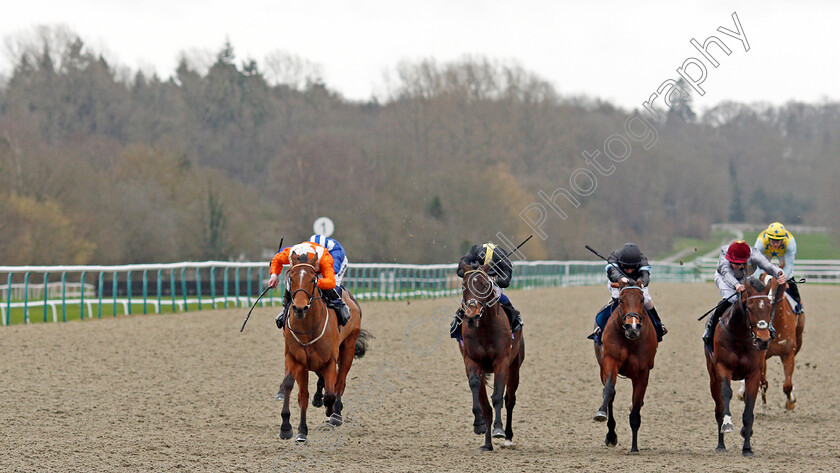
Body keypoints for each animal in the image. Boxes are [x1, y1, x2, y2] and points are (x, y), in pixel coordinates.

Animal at [278, 249, 368, 440]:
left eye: (313, 279)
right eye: (291, 278)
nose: (299, 308)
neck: (308, 328)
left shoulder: (330, 361)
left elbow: (331, 393)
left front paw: (330, 410)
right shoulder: (296, 358)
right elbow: (295, 389)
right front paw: (292, 429)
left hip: (348, 347)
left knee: (340, 382)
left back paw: (335, 414)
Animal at [456, 262, 520, 450]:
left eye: (484, 286)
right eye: (463, 286)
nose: (472, 316)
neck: (484, 328)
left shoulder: (502, 361)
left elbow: (498, 396)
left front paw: (499, 429)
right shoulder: (471, 360)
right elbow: (476, 388)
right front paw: (479, 425)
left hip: (515, 366)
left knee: (510, 399)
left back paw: (508, 437)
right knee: (486, 405)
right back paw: (487, 444)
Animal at [592, 278, 660, 452]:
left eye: (641, 300)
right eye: (621, 300)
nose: (632, 327)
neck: (630, 340)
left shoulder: (643, 371)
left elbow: (636, 406)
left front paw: (634, 447)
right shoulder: (611, 360)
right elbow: (609, 390)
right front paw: (601, 414)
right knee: (610, 395)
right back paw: (611, 435)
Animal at [704, 274, 780, 456]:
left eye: (769, 308)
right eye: (750, 308)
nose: (763, 340)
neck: (740, 336)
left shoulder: (753, 373)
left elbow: (749, 409)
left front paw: (747, 447)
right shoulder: (723, 368)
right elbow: (726, 394)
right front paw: (727, 423)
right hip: (712, 378)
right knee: (718, 408)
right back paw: (720, 445)